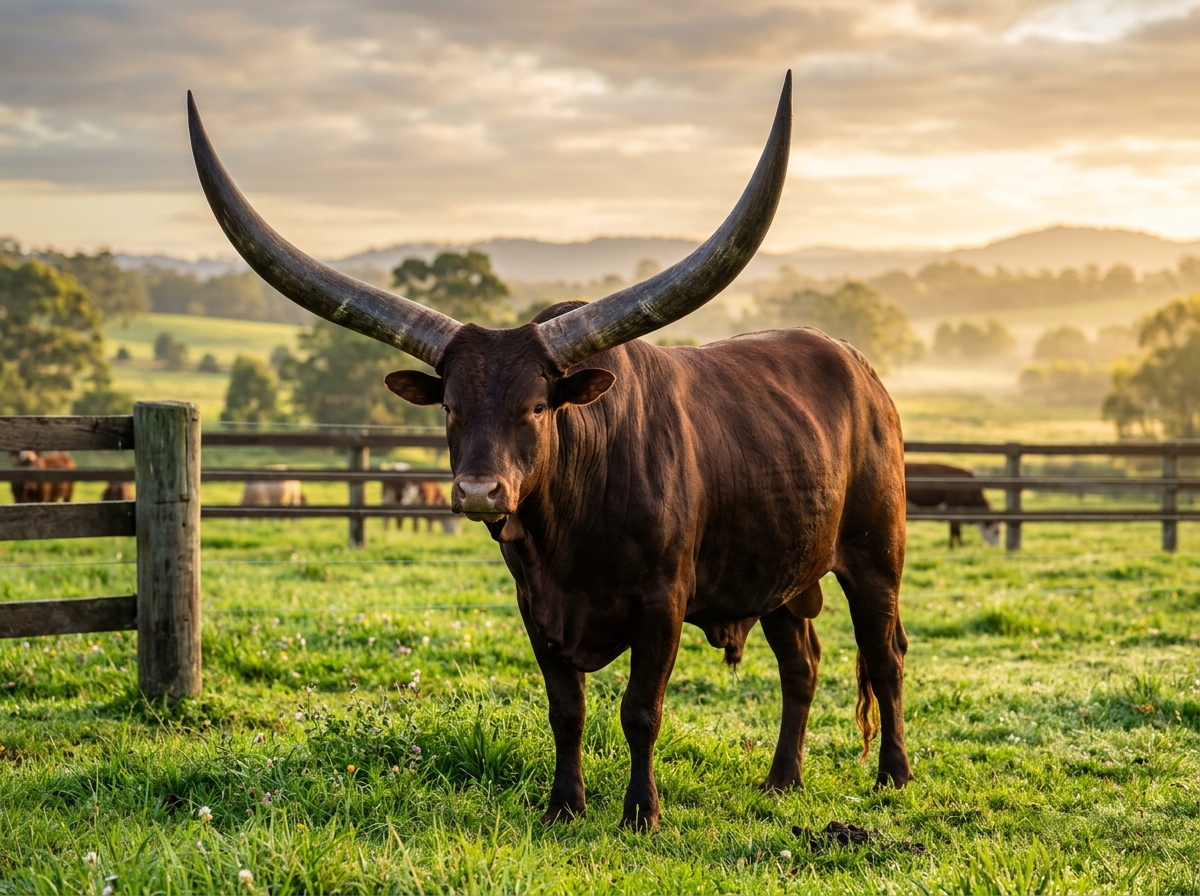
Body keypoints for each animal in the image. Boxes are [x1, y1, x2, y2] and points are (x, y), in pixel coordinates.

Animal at [189, 71, 912, 831]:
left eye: (537, 406)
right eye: (450, 406)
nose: (480, 493)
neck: (573, 525)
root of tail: (860, 370)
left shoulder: (663, 603)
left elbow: (640, 711)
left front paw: (640, 812)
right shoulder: (535, 605)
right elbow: (567, 710)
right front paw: (565, 805)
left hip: (875, 555)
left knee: (885, 656)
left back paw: (893, 774)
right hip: (781, 573)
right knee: (802, 663)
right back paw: (781, 780)